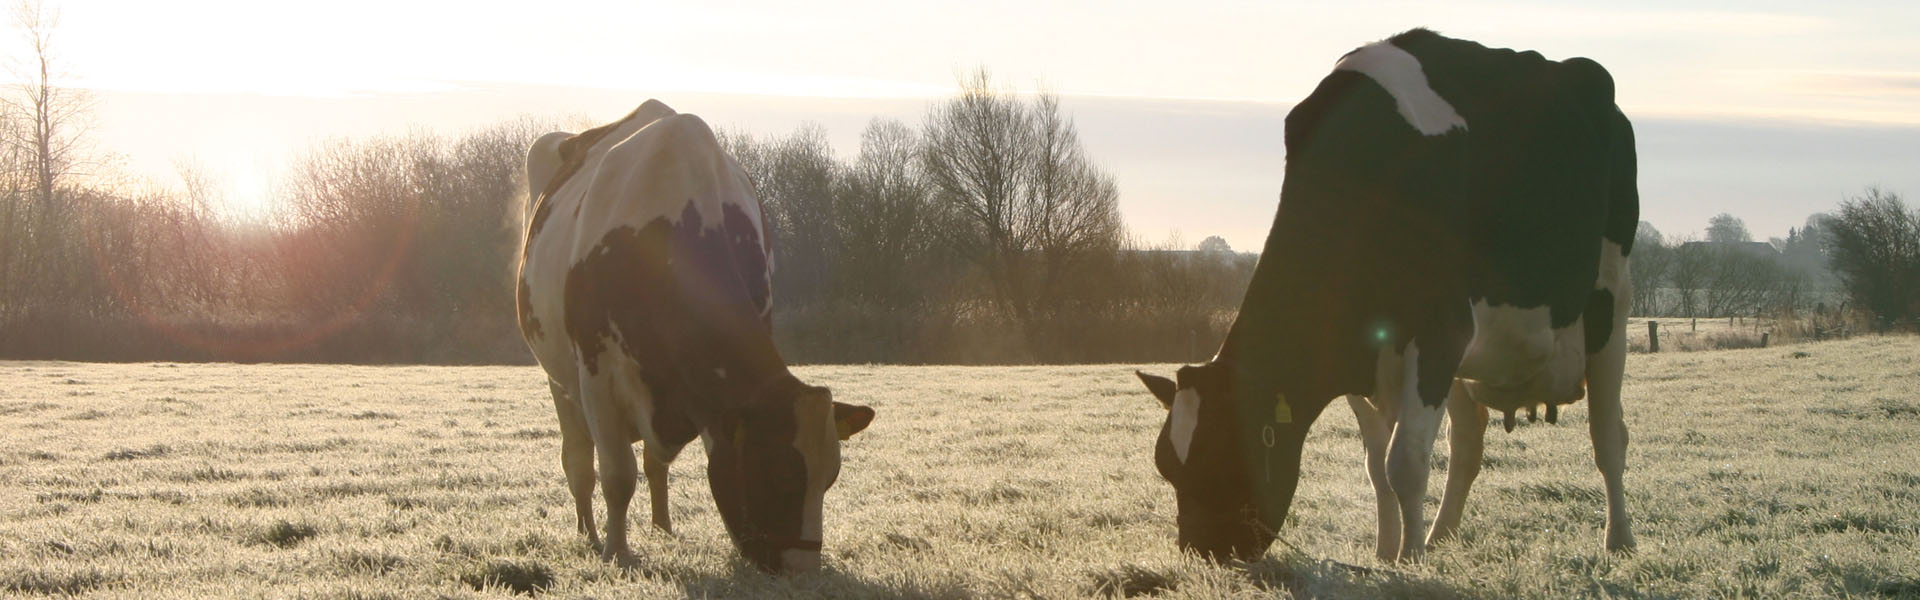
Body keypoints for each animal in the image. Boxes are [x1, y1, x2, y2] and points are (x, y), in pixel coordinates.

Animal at [510, 100, 871, 573]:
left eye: (830, 477)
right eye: (776, 472)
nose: (803, 571)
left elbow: (654, 465)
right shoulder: (597, 375)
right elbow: (617, 475)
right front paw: (617, 552)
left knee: (651, 464)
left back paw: (662, 528)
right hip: (558, 378)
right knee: (578, 460)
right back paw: (587, 532)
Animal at [1128, 28, 1643, 561]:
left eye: (1224, 457)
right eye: (1167, 466)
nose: (1200, 552)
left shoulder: (1439, 330)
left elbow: (1406, 464)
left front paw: (1410, 560)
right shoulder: (1359, 349)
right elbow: (1378, 468)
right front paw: (1386, 552)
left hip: (1609, 303)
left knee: (1609, 436)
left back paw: (1619, 539)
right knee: (1468, 443)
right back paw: (1442, 534)